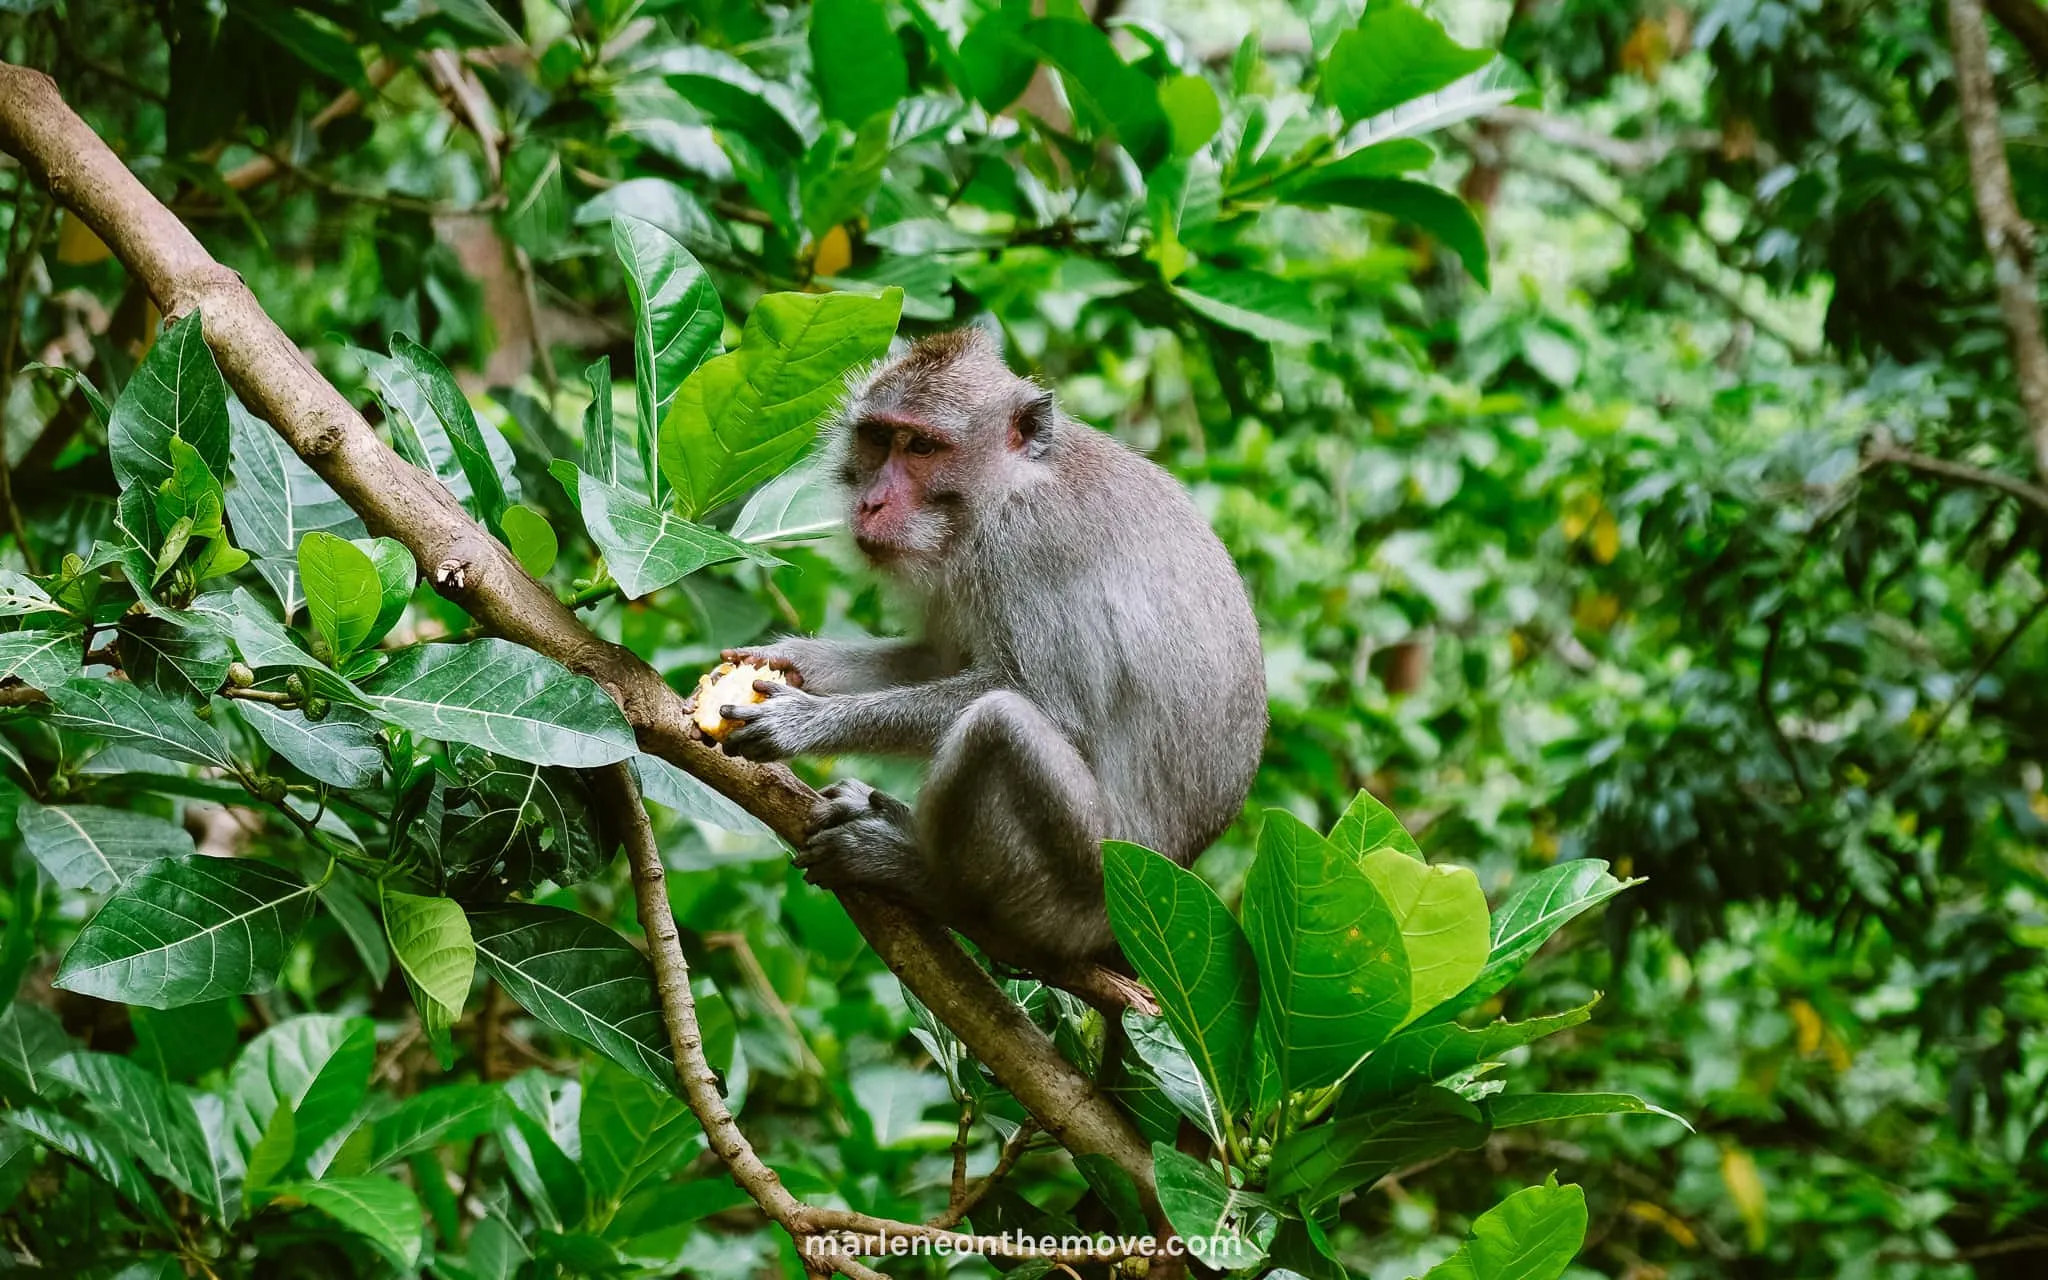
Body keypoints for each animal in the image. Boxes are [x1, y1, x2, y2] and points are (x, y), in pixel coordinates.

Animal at [710, 328, 1265, 970]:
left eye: (922, 447)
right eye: (877, 439)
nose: (870, 504)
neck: (998, 493)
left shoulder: (1029, 543)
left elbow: (1049, 703)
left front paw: (806, 722)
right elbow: (941, 661)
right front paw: (794, 660)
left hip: (1077, 887)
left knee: (999, 725)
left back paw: (923, 876)